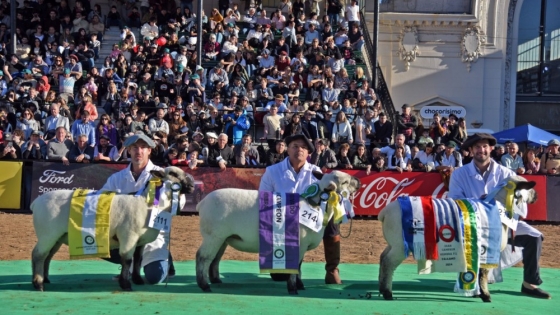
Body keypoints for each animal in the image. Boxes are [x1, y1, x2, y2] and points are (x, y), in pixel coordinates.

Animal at [30, 167, 195, 292]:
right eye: (173, 173)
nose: (193, 185)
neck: (146, 202)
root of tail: (35, 202)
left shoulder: (140, 241)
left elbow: (138, 260)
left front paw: (137, 280)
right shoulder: (129, 236)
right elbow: (127, 260)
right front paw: (126, 284)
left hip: (57, 237)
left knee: (47, 256)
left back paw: (45, 279)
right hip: (47, 234)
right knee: (38, 255)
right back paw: (38, 284)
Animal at [195, 172, 360, 296]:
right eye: (345, 182)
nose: (358, 181)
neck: (315, 204)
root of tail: (202, 202)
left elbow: (299, 266)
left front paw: (299, 285)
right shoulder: (299, 243)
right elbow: (296, 266)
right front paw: (293, 288)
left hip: (223, 238)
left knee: (215, 259)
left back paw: (215, 280)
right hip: (213, 235)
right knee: (203, 257)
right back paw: (204, 285)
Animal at [378, 177, 536, 302]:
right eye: (529, 188)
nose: (536, 195)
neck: (499, 207)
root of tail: (384, 212)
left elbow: (479, 272)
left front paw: (476, 293)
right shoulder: (489, 248)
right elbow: (483, 273)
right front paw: (485, 295)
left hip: (392, 243)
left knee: (382, 257)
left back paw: (381, 288)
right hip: (400, 245)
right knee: (388, 263)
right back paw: (387, 293)